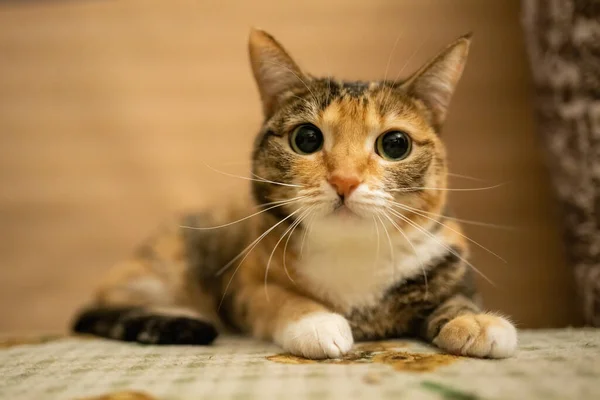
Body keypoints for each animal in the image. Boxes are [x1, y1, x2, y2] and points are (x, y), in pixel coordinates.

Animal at [72, 28, 516, 360]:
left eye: (395, 145)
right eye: (306, 138)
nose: (344, 180)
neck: (352, 252)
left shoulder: (449, 263)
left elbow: (458, 299)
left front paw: (477, 322)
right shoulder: (247, 283)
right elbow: (278, 298)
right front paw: (316, 322)